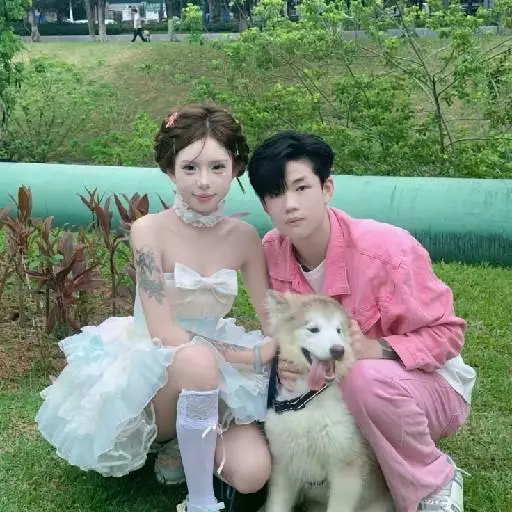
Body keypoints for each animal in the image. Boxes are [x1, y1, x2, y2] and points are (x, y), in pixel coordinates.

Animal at [263, 291, 394, 512]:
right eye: (313, 329)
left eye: (338, 330)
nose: (338, 350)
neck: (308, 401)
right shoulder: (284, 467)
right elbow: (277, 505)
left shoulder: (346, 472)